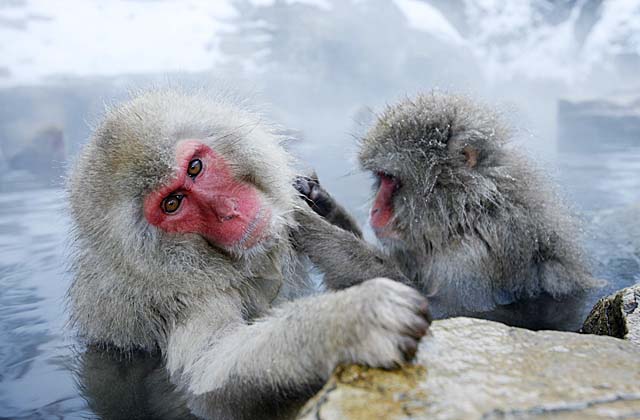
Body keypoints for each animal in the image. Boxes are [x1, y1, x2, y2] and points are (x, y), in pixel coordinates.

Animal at [66, 89, 430, 420]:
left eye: (195, 167)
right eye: (172, 203)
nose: (228, 210)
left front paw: (316, 202)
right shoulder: (185, 298)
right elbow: (207, 375)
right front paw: (352, 319)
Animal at [298, 92, 604, 332]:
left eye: (391, 180)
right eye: (381, 179)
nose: (374, 210)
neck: (463, 216)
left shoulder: (475, 256)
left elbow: (438, 308)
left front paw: (310, 226)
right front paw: (319, 201)